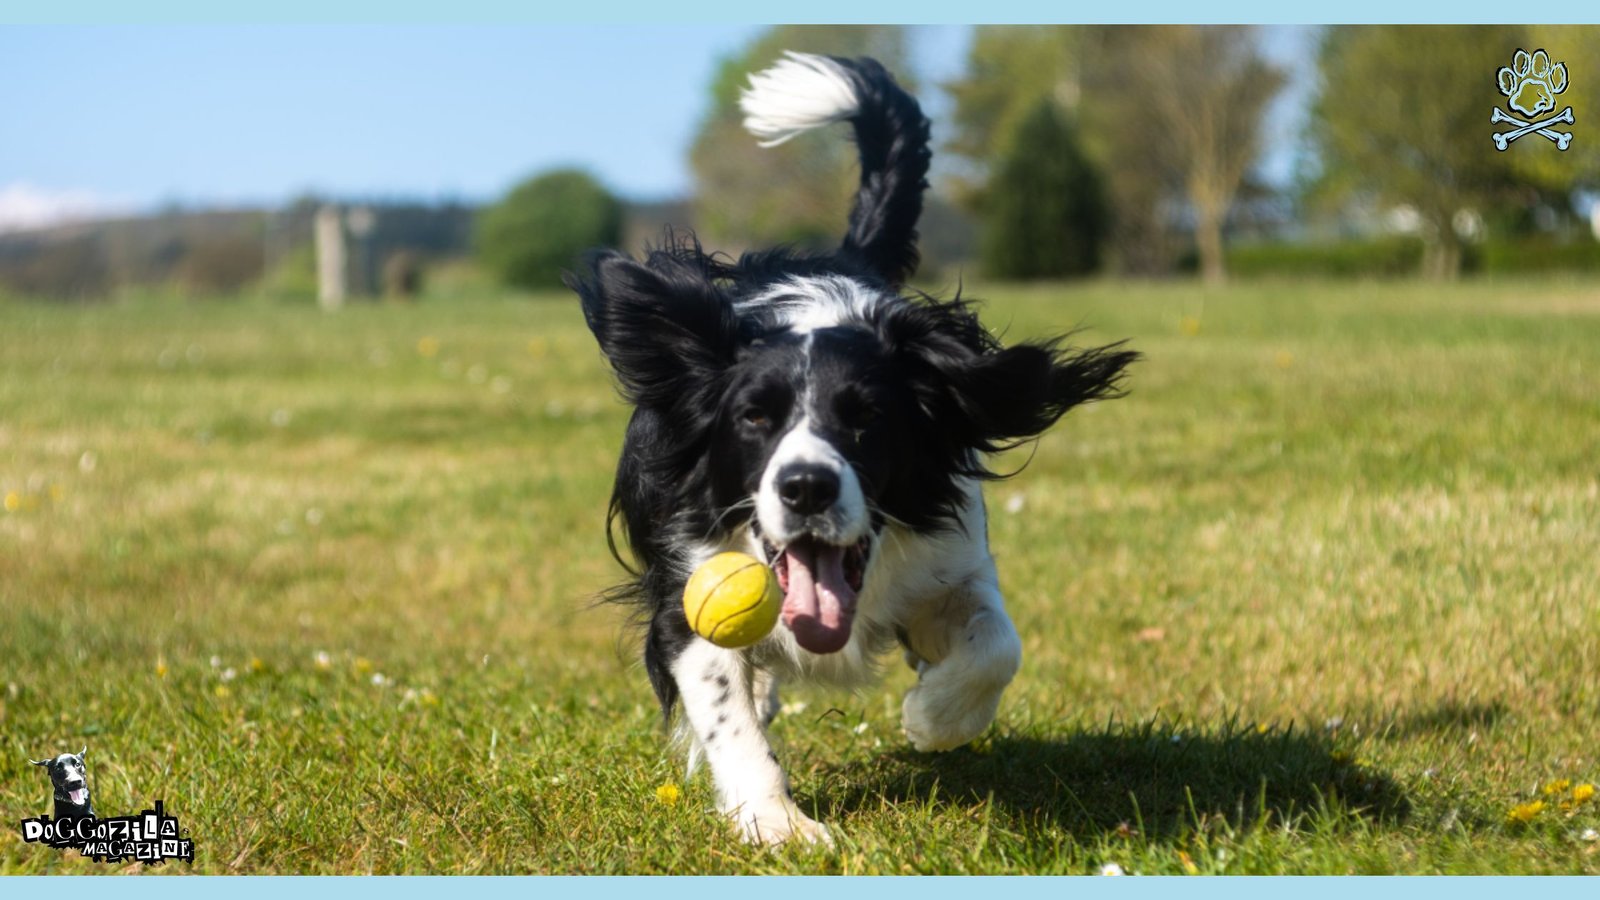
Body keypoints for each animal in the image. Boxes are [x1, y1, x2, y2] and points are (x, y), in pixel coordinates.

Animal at [569, 54, 1132, 839]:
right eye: (754, 418)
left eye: (867, 418)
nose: (807, 486)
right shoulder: (686, 581)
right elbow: (723, 707)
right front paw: (777, 825)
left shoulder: (948, 556)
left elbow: (996, 644)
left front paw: (935, 718)